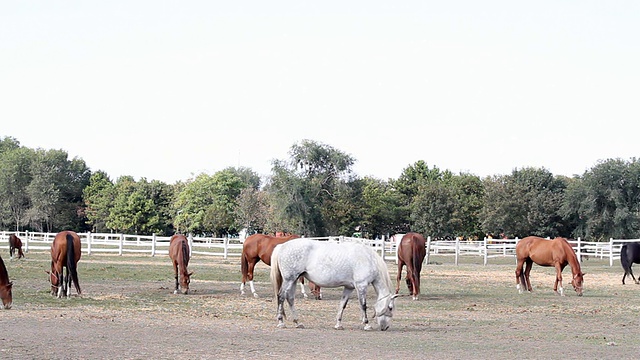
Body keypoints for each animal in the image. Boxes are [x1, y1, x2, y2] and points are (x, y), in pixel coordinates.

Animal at [268, 238, 398, 330]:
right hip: (289, 280)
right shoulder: (361, 286)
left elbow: (342, 305)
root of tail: (282, 246)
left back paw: (298, 322)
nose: (385, 327)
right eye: (390, 307)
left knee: (290, 298)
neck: (368, 259)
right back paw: (281, 322)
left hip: (294, 280)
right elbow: (363, 305)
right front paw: (367, 324)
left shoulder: (349, 287)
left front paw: (338, 324)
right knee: (281, 297)